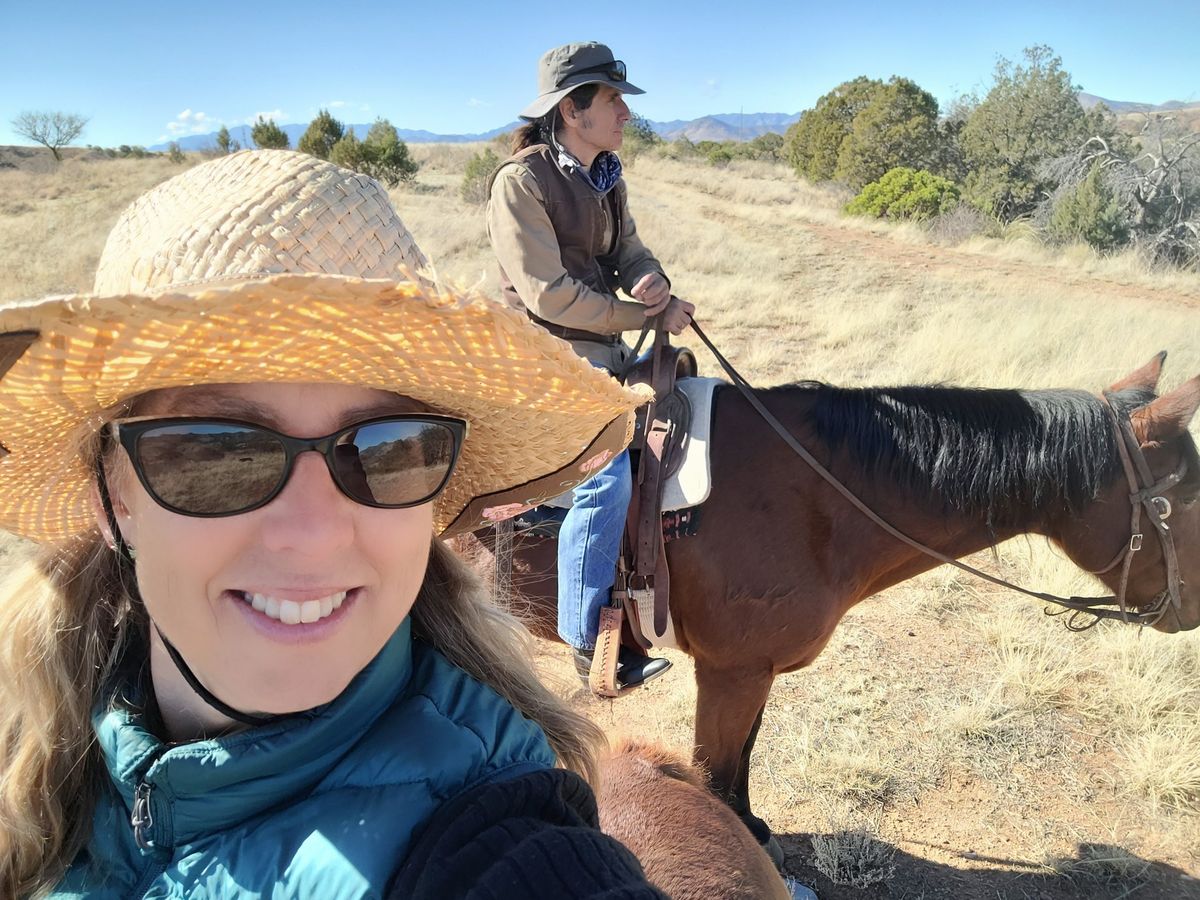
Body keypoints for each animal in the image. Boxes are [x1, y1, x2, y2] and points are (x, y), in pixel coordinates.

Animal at [453, 352, 1195, 854]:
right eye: (1184, 495)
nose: (1188, 612)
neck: (819, 496)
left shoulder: (752, 672)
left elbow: (743, 758)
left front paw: (752, 825)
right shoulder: (730, 674)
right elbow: (713, 773)